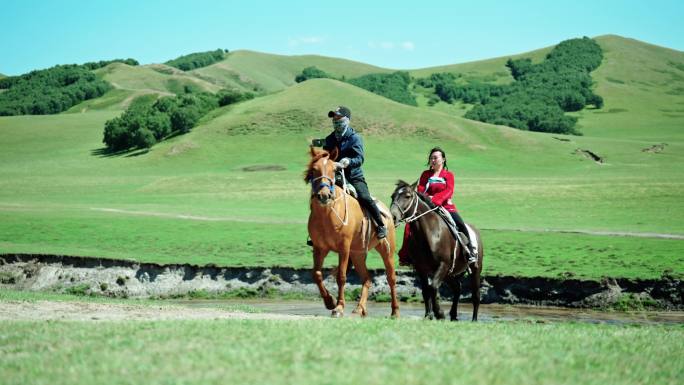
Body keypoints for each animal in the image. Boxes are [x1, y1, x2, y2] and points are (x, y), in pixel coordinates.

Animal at [302, 146, 398, 316]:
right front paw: (329, 301)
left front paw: (339, 307)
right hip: (358, 254)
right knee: (367, 279)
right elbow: (316, 274)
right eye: (314, 169)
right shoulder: (320, 248)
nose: (324, 195)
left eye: (334, 170)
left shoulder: (344, 248)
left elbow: (341, 276)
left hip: (387, 251)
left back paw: (395, 312)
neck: (328, 213)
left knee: (391, 278)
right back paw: (360, 308)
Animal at [388, 178, 484, 320]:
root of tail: (475, 231)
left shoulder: (443, 265)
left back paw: (474, 319)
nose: (392, 217)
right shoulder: (421, 268)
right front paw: (429, 315)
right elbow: (426, 290)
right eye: (392, 196)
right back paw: (453, 315)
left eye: (407, 196)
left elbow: (433, 287)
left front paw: (439, 313)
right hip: (449, 273)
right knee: (457, 288)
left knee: (476, 295)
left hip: (475, 269)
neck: (430, 234)